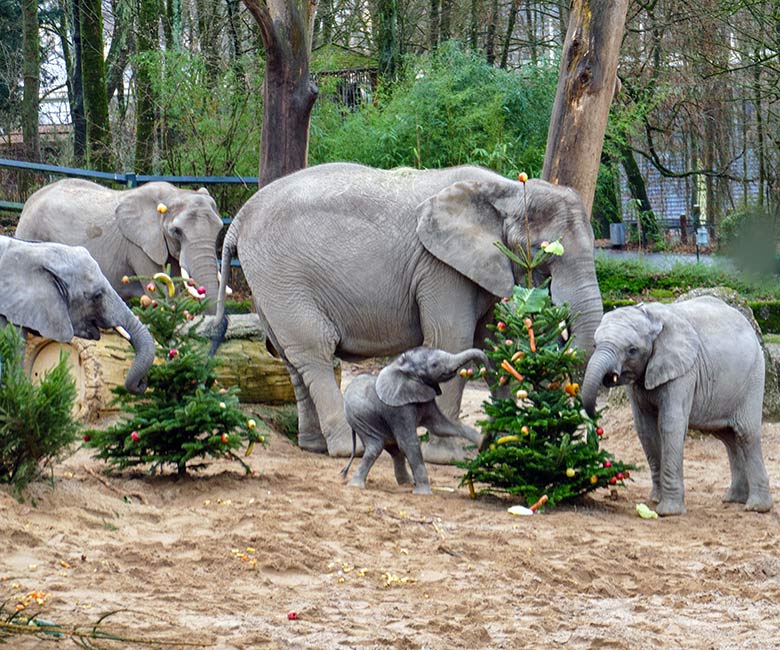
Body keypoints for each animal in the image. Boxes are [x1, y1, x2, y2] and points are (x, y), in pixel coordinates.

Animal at [16, 176, 224, 310]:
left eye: (219, 229)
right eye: (176, 232)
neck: (174, 193)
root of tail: (28, 202)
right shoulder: (139, 247)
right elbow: (160, 291)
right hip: (30, 232)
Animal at [213, 161, 604, 460]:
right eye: (544, 252)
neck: (504, 190)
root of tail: (239, 218)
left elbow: (494, 347)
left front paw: (503, 449)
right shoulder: (440, 266)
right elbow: (452, 341)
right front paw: (448, 458)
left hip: (270, 284)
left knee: (289, 357)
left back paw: (313, 447)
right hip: (282, 276)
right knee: (315, 350)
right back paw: (348, 450)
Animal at [342, 346, 488, 494]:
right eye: (434, 364)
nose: (483, 369)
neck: (403, 366)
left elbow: (441, 427)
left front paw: (484, 441)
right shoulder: (398, 408)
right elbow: (409, 443)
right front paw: (424, 493)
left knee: (394, 449)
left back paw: (407, 483)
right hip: (362, 420)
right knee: (376, 447)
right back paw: (356, 485)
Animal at [580, 298, 772, 516]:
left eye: (632, 350)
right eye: (595, 344)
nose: (593, 418)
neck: (651, 317)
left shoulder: (684, 371)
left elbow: (670, 425)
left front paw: (668, 511)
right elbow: (645, 429)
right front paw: (655, 500)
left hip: (754, 377)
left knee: (746, 434)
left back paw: (756, 507)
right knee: (728, 437)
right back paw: (734, 499)